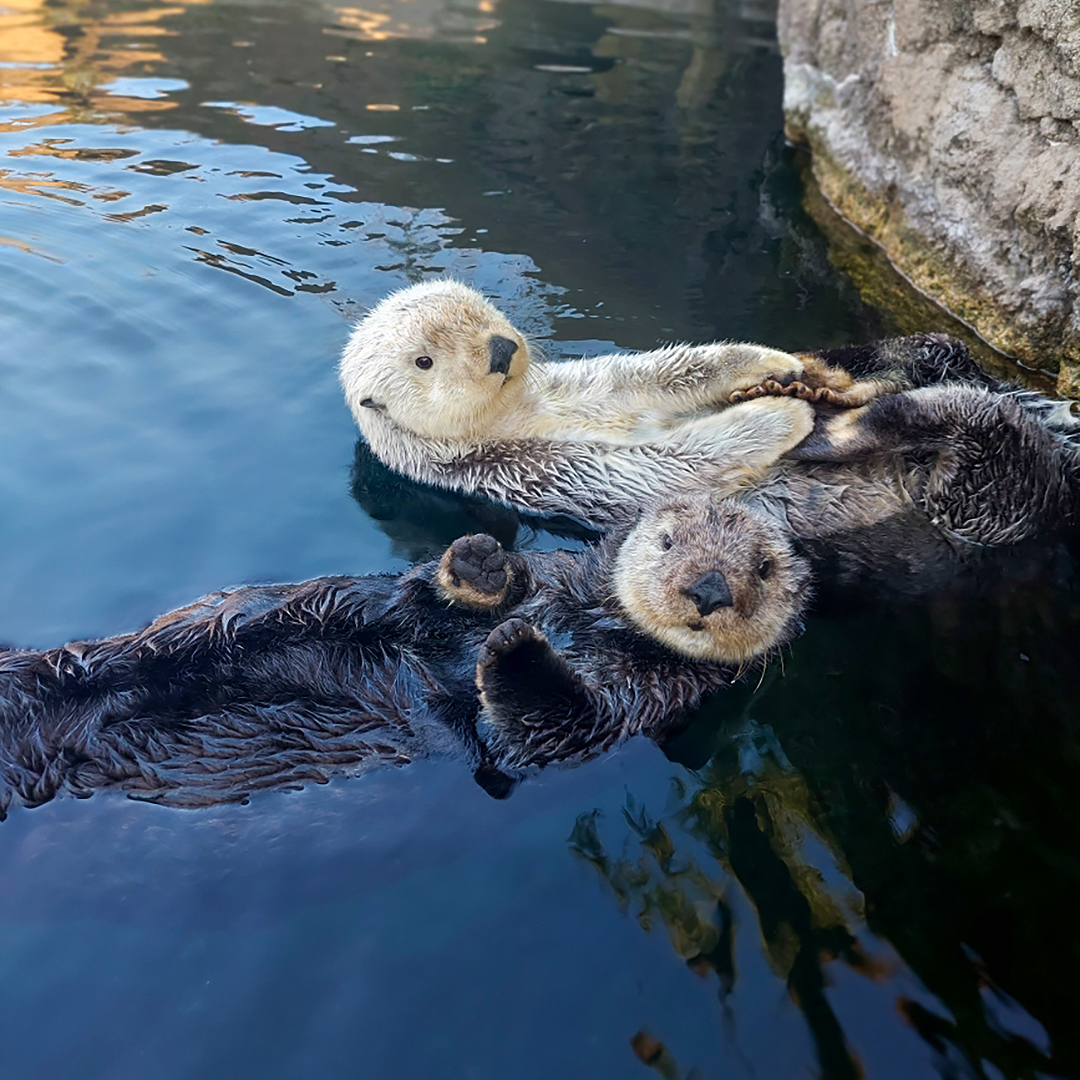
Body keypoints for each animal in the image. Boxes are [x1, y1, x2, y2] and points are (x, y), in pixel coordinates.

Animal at [0, 493, 810, 815]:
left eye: (763, 568)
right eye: (669, 541)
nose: (707, 589)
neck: (593, 616)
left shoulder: (647, 694)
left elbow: (547, 729)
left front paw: (515, 649)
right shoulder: (550, 578)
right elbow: (434, 594)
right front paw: (484, 565)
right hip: (216, 621)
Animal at [339, 280, 878, 530]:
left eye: (478, 309)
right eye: (424, 361)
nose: (500, 350)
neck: (519, 413)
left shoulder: (586, 384)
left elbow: (659, 372)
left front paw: (769, 364)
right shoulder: (525, 467)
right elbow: (658, 468)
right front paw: (781, 414)